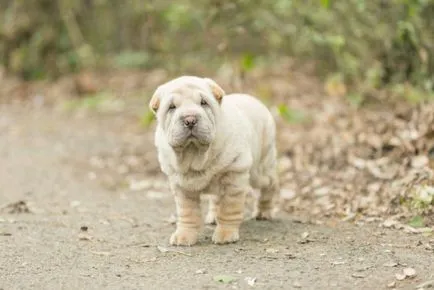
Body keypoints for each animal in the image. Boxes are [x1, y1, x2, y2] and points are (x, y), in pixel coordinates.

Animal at [148, 76, 278, 246]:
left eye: (204, 103)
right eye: (171, 107)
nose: (190, 119)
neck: (195, 154)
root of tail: (254, 100)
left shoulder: (234, 176)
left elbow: (229, 208)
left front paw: (225, 234)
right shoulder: (181, 185)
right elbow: (187, 213)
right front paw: (184, 235)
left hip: (260, 170)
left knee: (270, 185)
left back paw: (264, 212)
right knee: (217, 199)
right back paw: (214, 217)